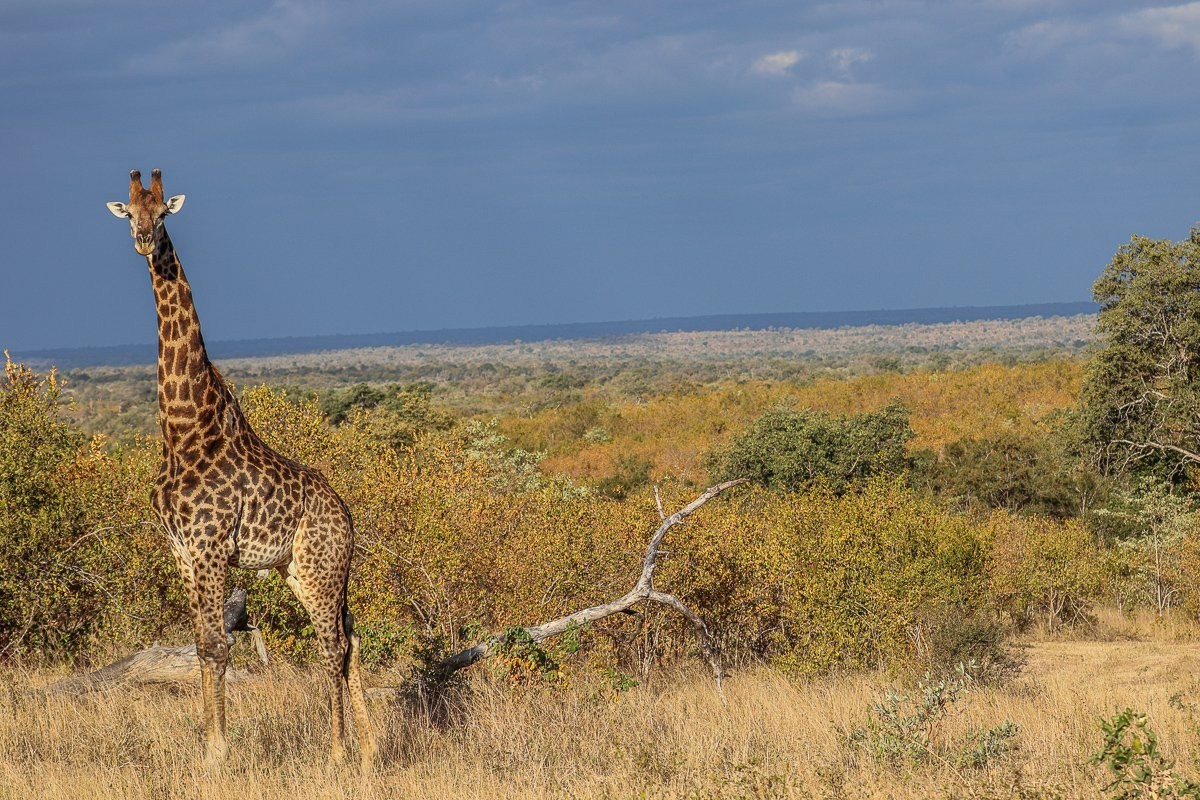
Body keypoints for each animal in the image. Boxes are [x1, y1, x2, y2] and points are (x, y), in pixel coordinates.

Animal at [106, 169, 376, 770]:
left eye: (163, 213)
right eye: (129, 212)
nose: (143, 240)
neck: (184, 429)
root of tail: (347, 518)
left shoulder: (209, 546)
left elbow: (216, 645)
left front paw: (217, 751)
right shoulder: (182, 550)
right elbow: (202, 643)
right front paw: (208, 747)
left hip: (320, 569)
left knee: (333, 644)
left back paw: (338, 753)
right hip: (302, 570)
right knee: (350, 637)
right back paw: (370, 750)